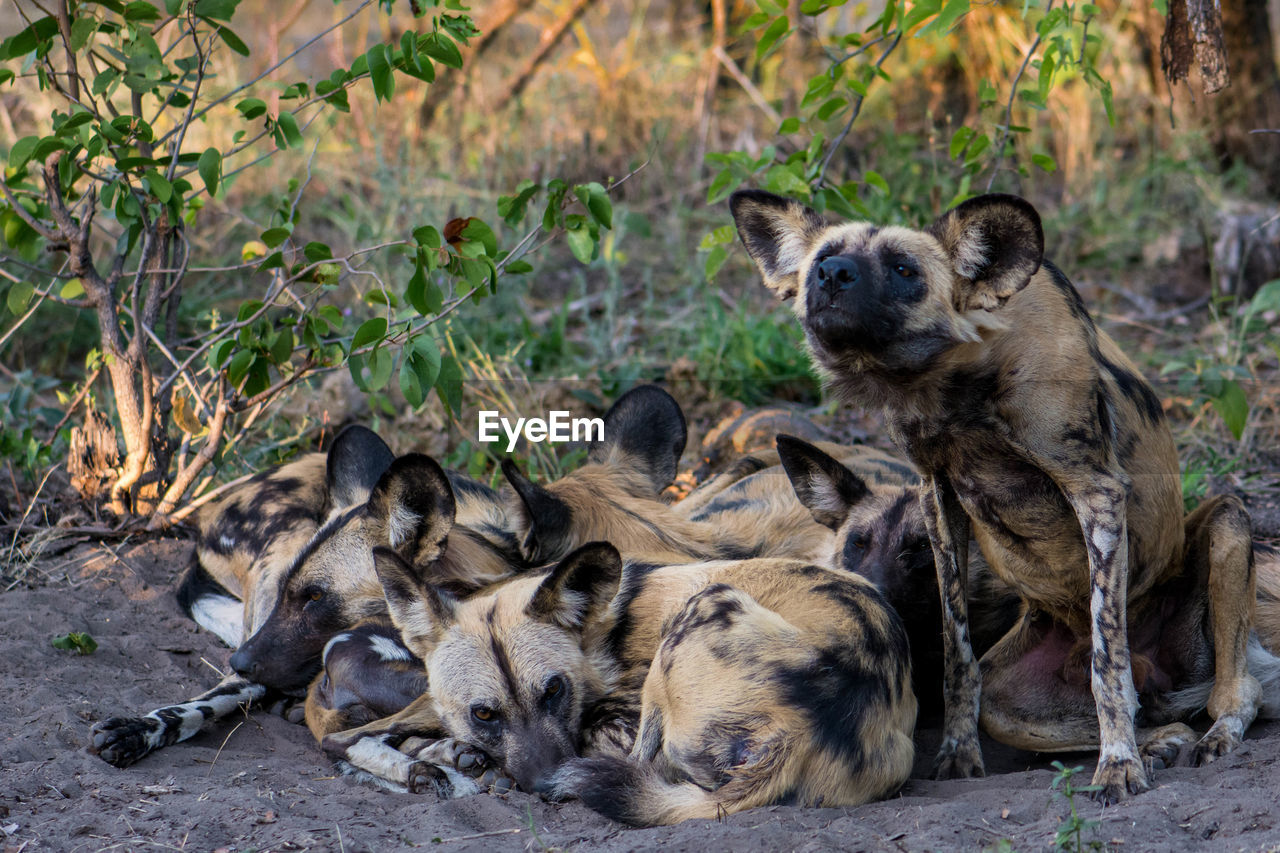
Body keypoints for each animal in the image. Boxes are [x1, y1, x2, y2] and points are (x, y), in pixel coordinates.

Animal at [737, 189, 1264, 799]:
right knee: (1140, 707)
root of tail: (1161, 666)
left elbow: (1108, 665)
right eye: (823, 258)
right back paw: (1160, 737)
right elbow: (957, 657)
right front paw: (958, 754)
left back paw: (1206, 736)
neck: (959, 385)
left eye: (903, 269)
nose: (832, 274)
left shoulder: (1096, 492)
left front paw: (1119, 765)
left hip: (1227, 524)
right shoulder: (939, 499)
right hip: (1012, 699)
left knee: (1226, 689)